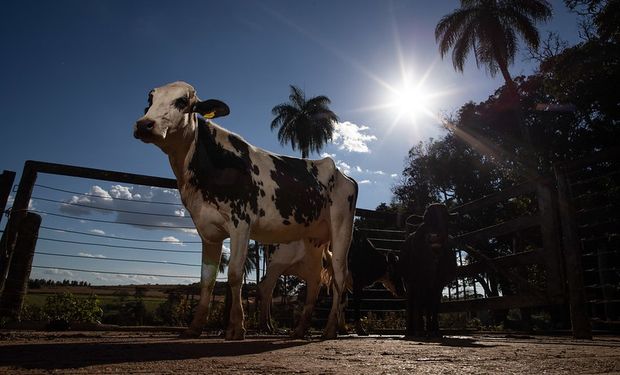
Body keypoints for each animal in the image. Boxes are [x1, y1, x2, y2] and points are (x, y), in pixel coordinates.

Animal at [135, 82, 358, 340]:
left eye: (182, 101)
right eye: (150, 100)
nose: (144, 124)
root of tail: (343, 175)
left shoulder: (240, 223)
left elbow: (234, 274)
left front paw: (236, 327)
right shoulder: (207, 231)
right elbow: (207, 280)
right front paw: (195, 327)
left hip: (341, 230)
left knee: (339, 278)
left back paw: (330, 329)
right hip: (313, 238)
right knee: (314, 280)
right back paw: (300, 329)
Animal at [256, 229, 404, 338]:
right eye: (396, 272)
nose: (403, 291)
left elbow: (343, 303)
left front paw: (343, 329)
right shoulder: (357, 281)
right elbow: (356, 304)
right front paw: (360, 330)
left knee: (267, 290)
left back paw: (270, 326)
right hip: (277, 265)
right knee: (266, 288)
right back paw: (266, 326)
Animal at [400, 204, 458, 340]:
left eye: (447, 219)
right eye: (425, 220)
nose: (435, 236)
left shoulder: (439, 284)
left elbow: (434, 306)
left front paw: (435, 330)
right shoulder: (417, 281)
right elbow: (418, 304)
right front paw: (420, 330)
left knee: (427, 305)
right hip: (409, 284)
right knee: (412, 303)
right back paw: (411, 330)